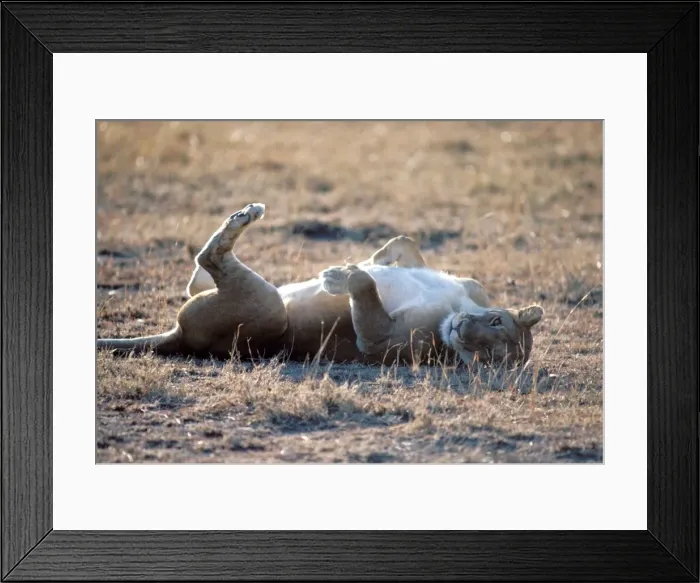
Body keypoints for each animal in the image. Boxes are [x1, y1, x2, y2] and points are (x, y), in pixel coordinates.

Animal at [97, 203, 544, 366]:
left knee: (208, 260)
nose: (463, 333)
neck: (453, 310)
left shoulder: (383, 344)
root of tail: (180, 338)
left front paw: (339, 276)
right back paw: (245, 214)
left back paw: (245, 218)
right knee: (196, 277)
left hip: (269, 310)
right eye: (496, 323)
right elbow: (406, 246)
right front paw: (377, 257)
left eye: (487, 358)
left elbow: (364, 287)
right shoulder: (472, 286)